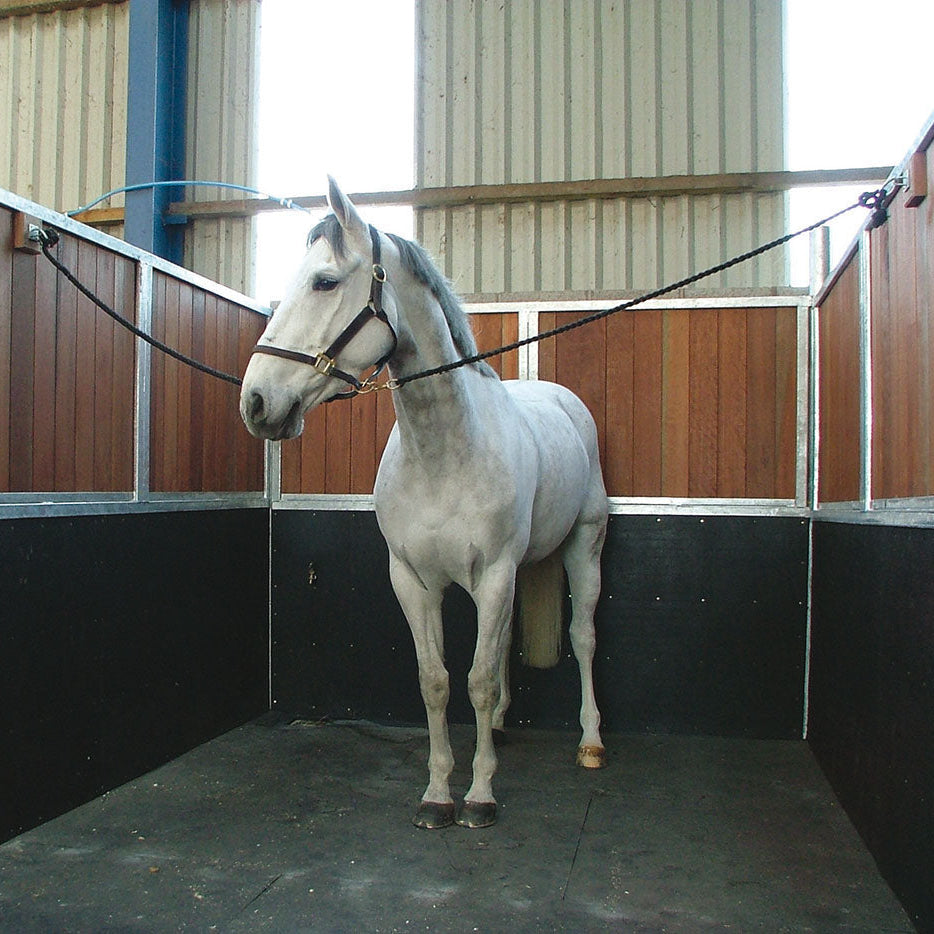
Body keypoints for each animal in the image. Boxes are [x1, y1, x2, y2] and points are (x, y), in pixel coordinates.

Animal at [240, 178, 608, 829]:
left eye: (325, 281)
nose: (256, 402)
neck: (443, 453)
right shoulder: (413, 580)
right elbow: (435, 681)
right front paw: (438, 793)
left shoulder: (493, 574)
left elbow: (478, 681)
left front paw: (480, 795)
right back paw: (502, 729)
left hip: (582, 548)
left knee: (584, 636)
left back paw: (591, 743)